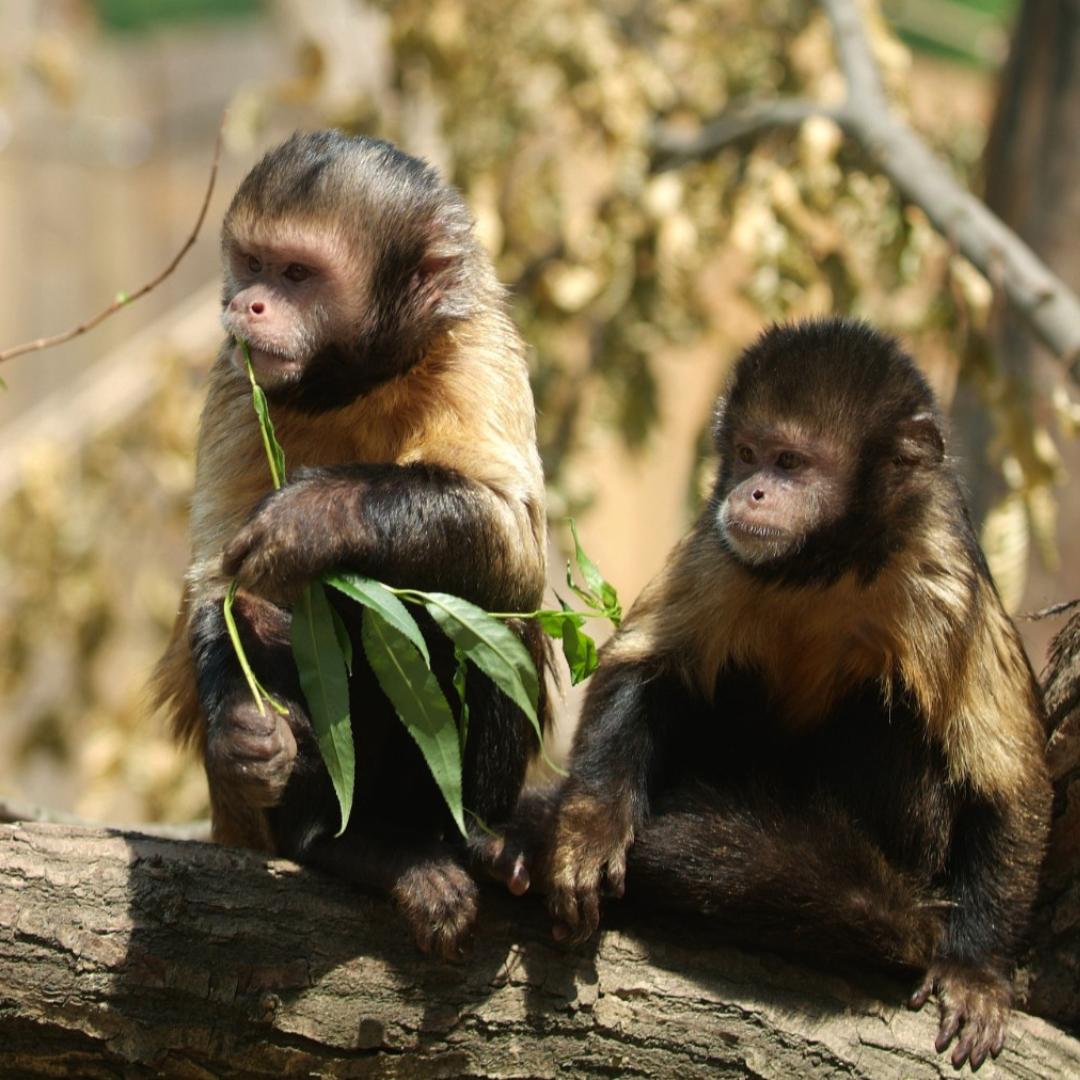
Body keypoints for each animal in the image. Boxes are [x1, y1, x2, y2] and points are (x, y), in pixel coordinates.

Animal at [152, 128, 548, 963]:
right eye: (255, 264)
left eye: (297, 275)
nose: (248, 302)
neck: (354, 381)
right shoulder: (237, 374)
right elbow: (217, 586)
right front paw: (242, 738)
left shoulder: (478, 346)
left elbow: (513, 546)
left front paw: (315, 518)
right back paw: (341, 844)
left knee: (486, 612)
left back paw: (474, 842)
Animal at [544, 317, 1049, 1071]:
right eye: (748, 455)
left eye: (789, 463)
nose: (751, 492)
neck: (828, 565)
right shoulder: (721, 545)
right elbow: (644, 667)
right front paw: (591, 826)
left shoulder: (942, 568)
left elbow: (1009, 779)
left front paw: (978, 971)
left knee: (890, 703)